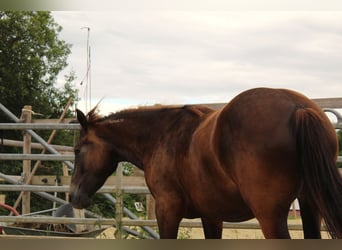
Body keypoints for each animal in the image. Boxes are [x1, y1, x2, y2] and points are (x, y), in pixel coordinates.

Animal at [69, 87, 342, 238]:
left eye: (77, 150)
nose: (73, 197)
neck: (161, 134)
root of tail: (299, 108)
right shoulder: (212, 216)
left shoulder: (167, 211)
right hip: (310, 206)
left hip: (271, 217)